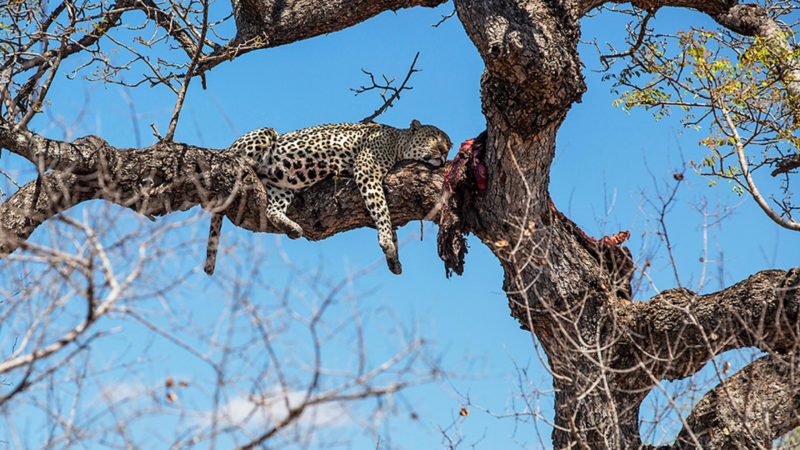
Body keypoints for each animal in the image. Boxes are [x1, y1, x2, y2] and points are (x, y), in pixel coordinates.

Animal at [204, 119, 452, 276]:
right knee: (238, 158)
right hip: (264, 134)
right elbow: (382, 211)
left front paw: (394, 260)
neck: (397, 141)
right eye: (433, 137)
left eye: (449, 146)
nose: (443, 152)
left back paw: (293, 228)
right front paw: (386, 241)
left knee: (272, 210)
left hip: (281, 186)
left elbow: (387, 215)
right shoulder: (367, 169)